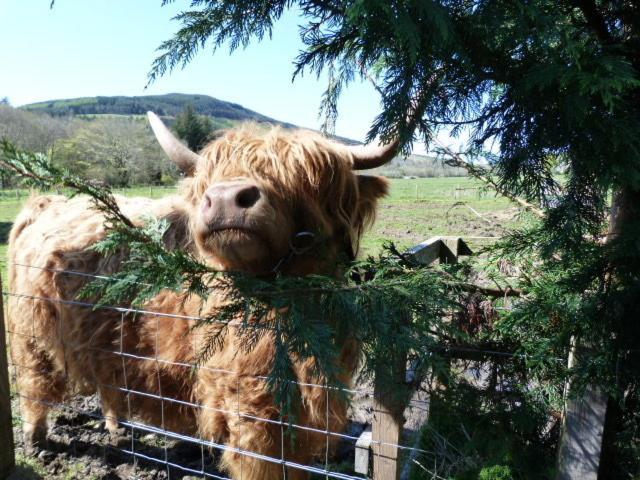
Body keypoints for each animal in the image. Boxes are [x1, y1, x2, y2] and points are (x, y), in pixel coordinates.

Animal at [7, 110, 398, 478]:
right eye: (212, 177)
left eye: (304, 176)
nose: (225, 198)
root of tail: (45, 202)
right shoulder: (249, 406)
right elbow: (261, 465)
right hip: (30, 335)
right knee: (33, 383)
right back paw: (35, 439)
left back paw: (118, 429)